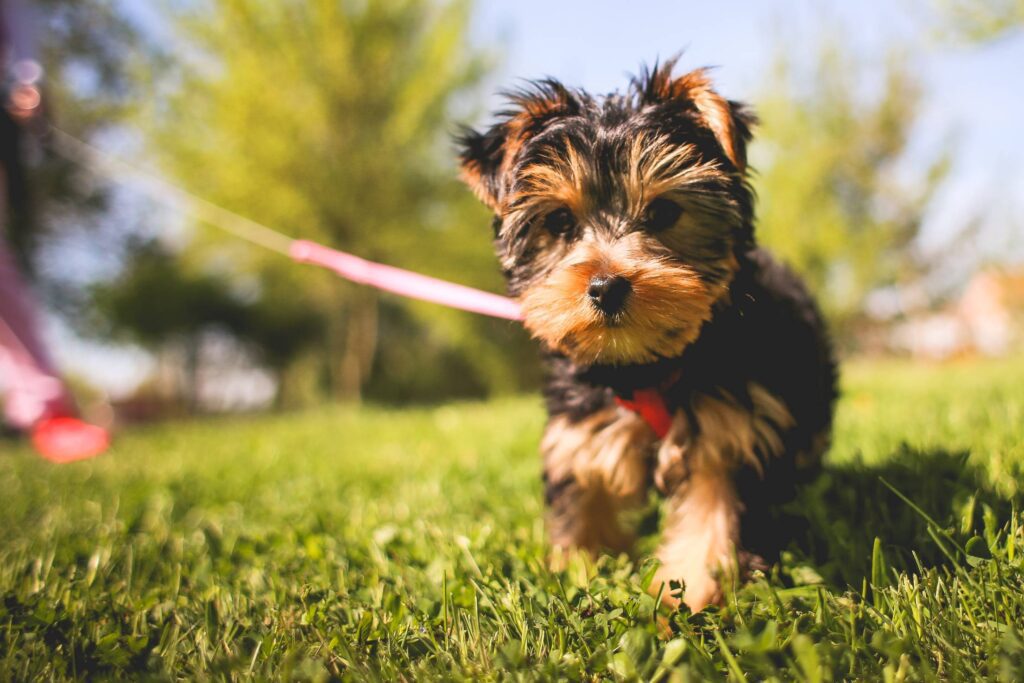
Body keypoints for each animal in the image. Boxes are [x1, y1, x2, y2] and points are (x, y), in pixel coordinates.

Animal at [460, 58, 835, 610]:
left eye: (663, 212)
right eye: (560, 221)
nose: (607, 286)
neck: (644, 365)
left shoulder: (729, 433)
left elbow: (711, 521)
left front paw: (688, 601)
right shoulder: (580, 433)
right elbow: (582, 503)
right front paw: (576, 572)